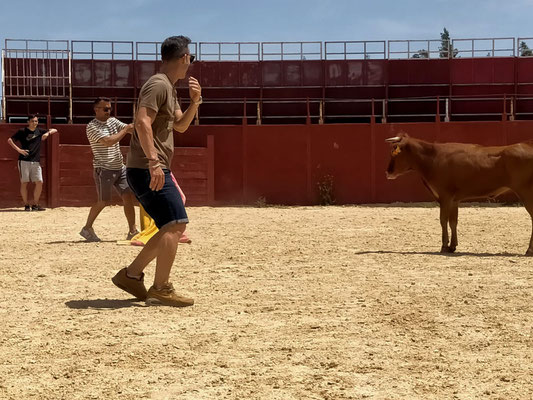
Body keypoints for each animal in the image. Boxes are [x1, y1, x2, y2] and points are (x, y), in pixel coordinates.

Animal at [384, 133, 532, 255]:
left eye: (394, 153)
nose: (388, 172)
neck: (434, 158)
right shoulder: (454, 200)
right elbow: (453, 221)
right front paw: (452, 246)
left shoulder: (445, 196)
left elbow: (443, 220)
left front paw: (444, 246)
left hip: (525, 193)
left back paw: (529, 250)